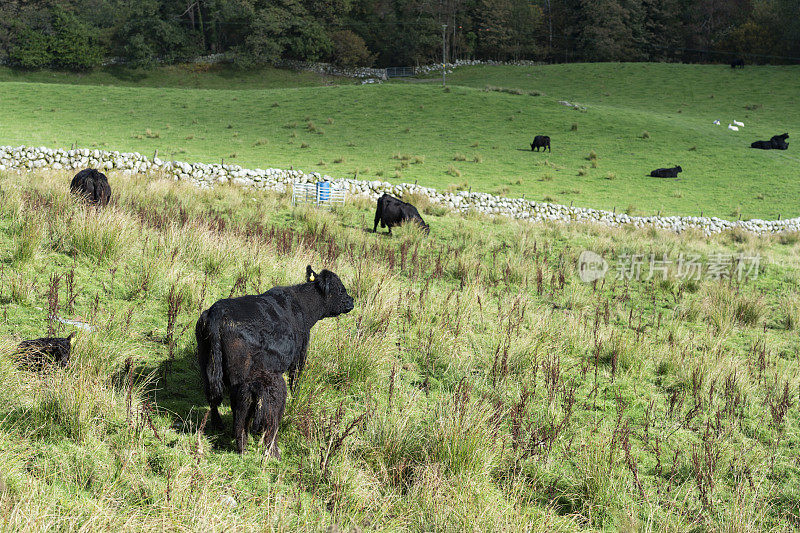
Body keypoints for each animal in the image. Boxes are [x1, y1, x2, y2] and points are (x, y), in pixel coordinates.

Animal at [194, 264, 354, 454]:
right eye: (340, 289)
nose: (351, 301)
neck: (303, 307)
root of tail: (217, 309)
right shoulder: (300, 356)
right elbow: (295, 381)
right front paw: (295, 399)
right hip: (238, 373)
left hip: (206, 361)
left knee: (212, 396)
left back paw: (217, 425)